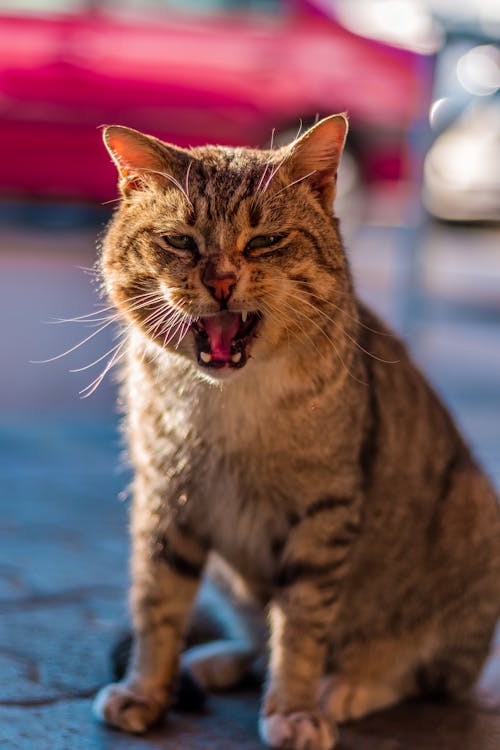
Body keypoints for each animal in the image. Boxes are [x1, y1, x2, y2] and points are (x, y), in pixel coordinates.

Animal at [92, 117, 498, 750]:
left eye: (264, 242)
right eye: (181, 242)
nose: (221, 281)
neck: (228, 400)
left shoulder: (324, 511)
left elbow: (303, 624)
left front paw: (294, 708)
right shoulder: (164, 495)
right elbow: (156, 602)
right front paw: (145, 691)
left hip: (474, 512)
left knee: (428, 674)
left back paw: (347, 687)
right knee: (256, 640)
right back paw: (217, 660)